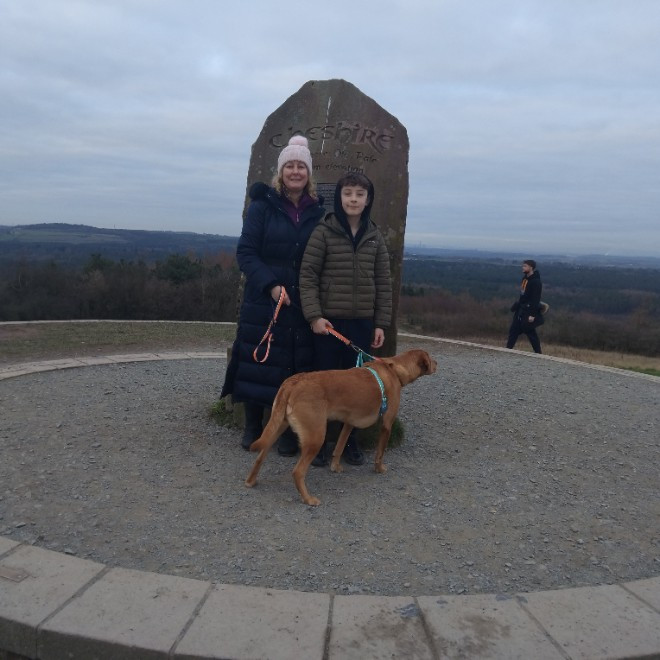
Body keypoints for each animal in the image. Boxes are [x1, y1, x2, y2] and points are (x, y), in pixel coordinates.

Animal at [244, 349, 437, 506]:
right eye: (431, 358)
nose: (437, 364)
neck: (394, 370)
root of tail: (294, 381)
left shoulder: (349, 423)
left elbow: (340, 446)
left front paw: (335, 466)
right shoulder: (387, 424)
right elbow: (380, 453)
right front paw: (379, 469)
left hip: (276, 428)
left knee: (259, 458)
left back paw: (251, 481)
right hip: (315, 437)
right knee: (297, 472)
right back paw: (308, 499)